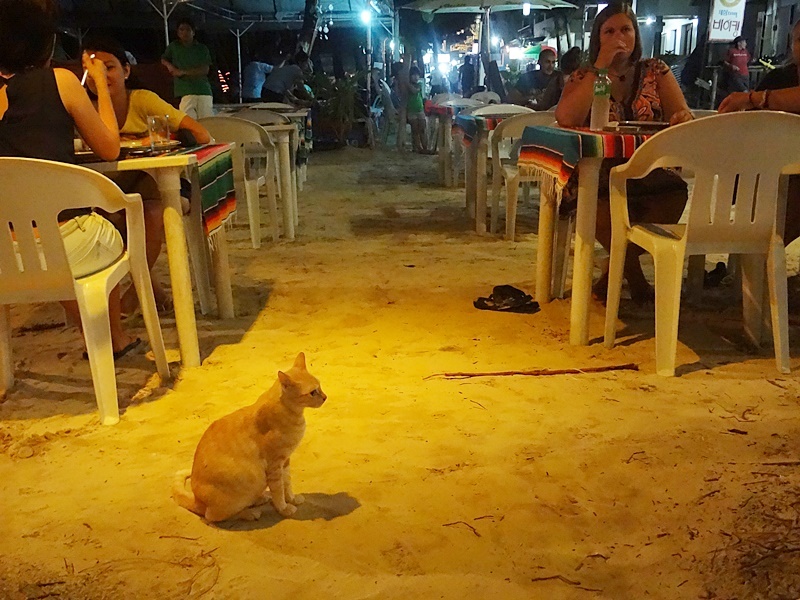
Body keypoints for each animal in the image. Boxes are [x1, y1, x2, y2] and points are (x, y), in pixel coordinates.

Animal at [173, 352, 326, 520]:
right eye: (312, 392)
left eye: (320, 386)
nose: (325, 397)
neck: (292, 412)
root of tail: (197, 500)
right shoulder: (274, 465)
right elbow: (278, 490)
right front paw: (284, 508)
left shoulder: (285, 461)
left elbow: (287, 483)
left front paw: (291, 498)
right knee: (213, 516)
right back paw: (249, 512)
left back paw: (260, 499)